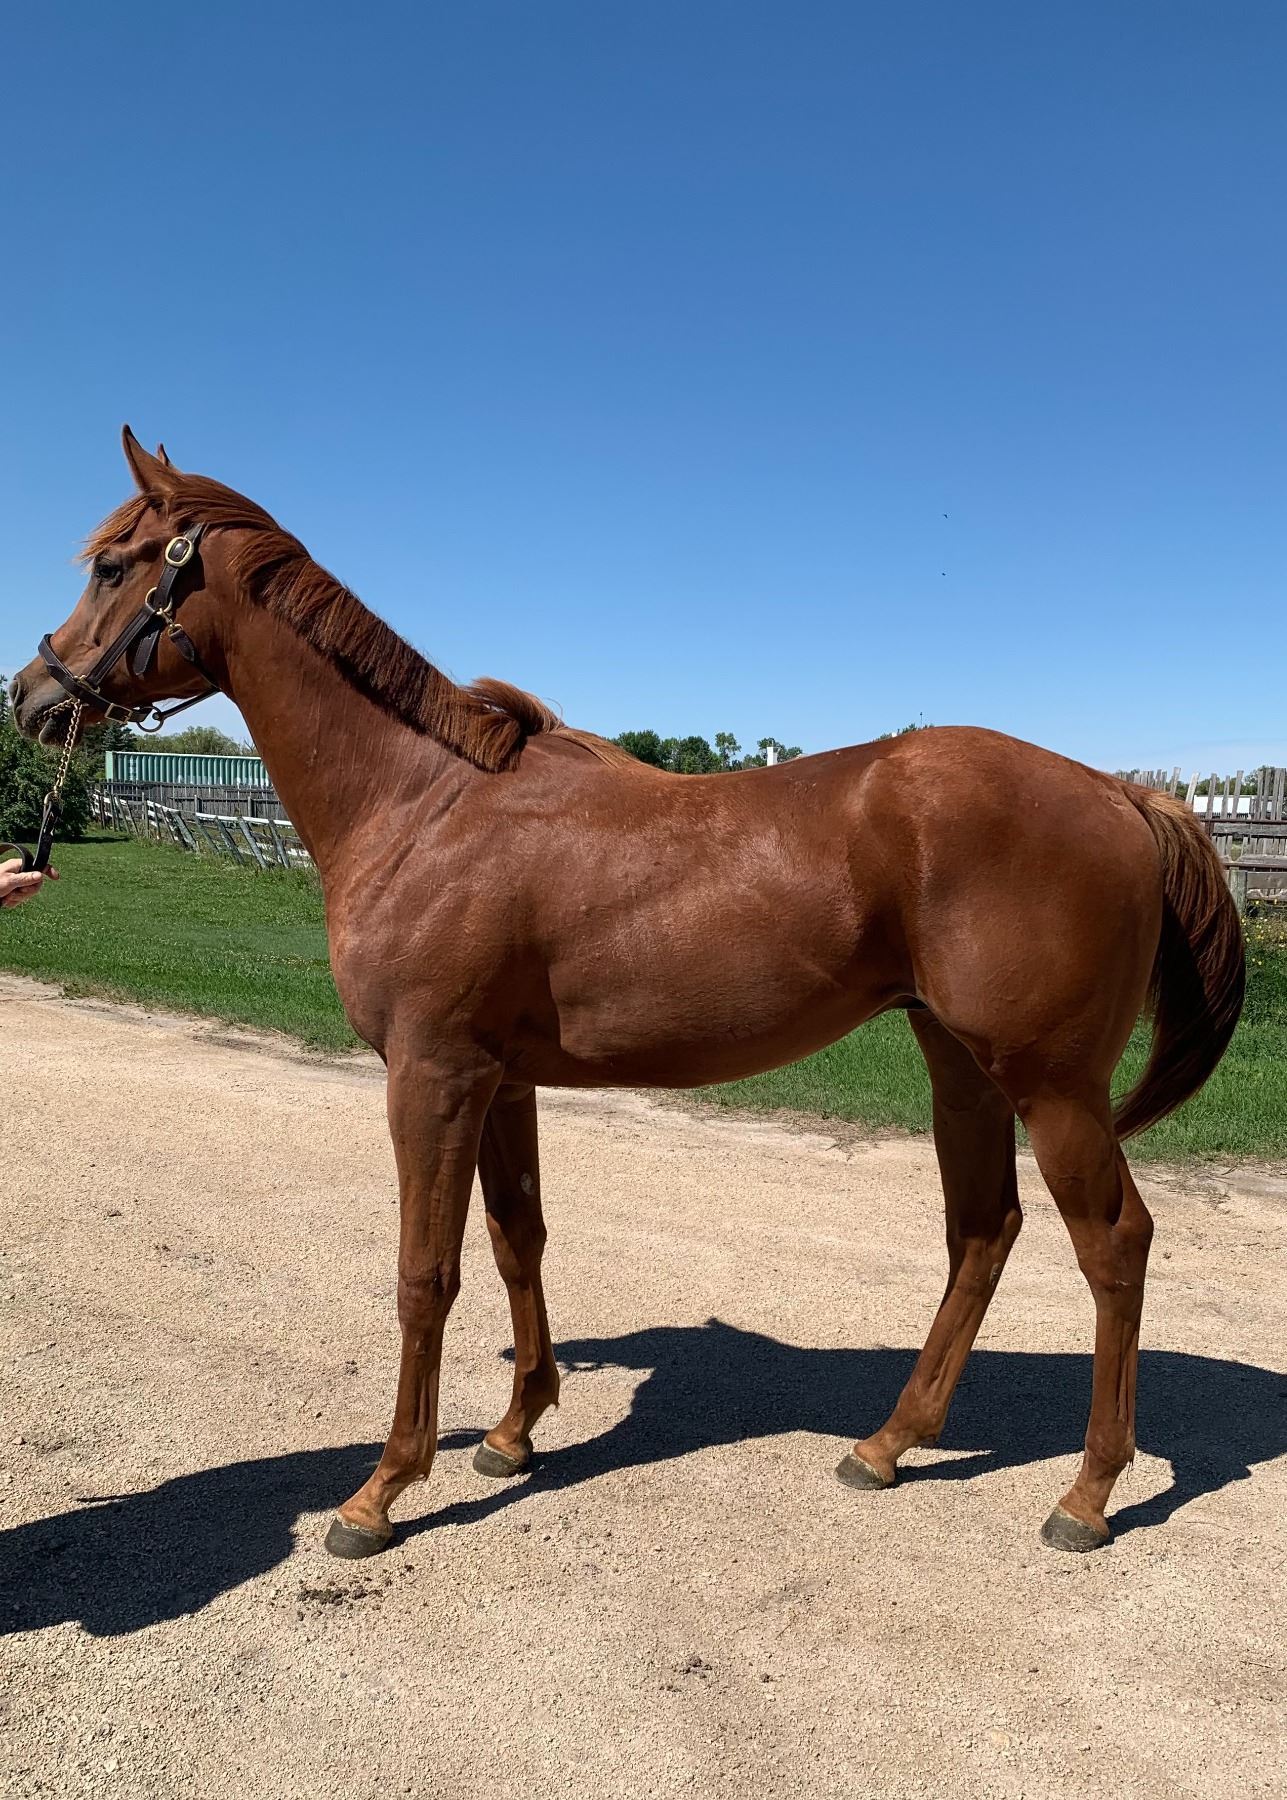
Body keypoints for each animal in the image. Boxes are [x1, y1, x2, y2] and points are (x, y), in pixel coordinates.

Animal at [10, 428, 1245, 1560]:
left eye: (114, 564)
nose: (29, 693)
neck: (423, 806)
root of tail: (1124, 794)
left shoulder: (430, 1076)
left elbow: (424, 1273)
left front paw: (381, 1490)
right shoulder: (500, 1082)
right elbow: (517, 1240)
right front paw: (515, 1429)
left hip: (1053, 1089)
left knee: (1114, 1246)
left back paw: (1086, 1494)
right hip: (962, 1068)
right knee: (981, 1233)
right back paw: (888, 1443)